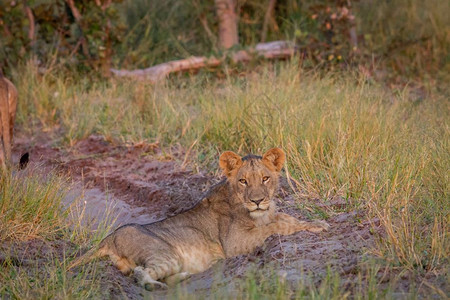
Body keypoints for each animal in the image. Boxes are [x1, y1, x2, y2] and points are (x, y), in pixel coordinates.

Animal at [70, 149, 330, 290]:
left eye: (265, 178)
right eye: (243, 181)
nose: (257, 201)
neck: (260, 212)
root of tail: (109, 238)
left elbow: (285, 217)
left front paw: (313, 222)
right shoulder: (235, 243)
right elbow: (278, 226)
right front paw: (318, 226)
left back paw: (190, 275)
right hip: (164, 253)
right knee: (140, 273)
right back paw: (156, 285)